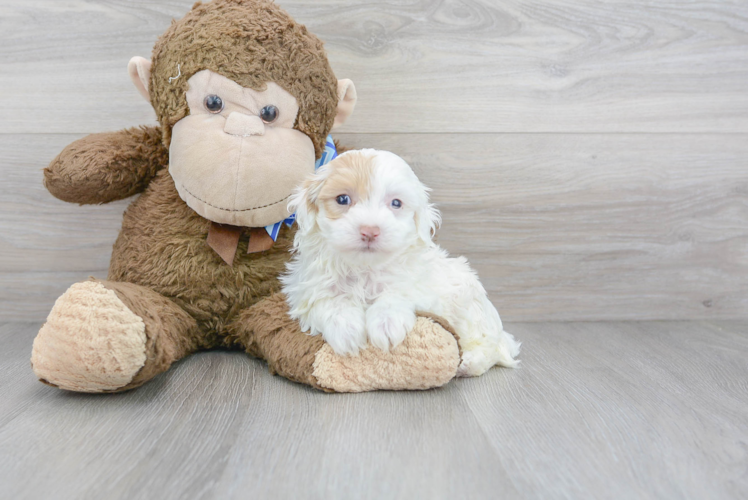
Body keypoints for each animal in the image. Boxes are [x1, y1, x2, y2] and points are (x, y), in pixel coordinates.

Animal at [280, 148, 520, 376]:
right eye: (342, 199)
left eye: (396, 203)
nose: (370, 231)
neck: (364, 267)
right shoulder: (307, 288)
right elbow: (330, 301)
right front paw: (346, 330)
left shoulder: (420, 284)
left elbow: (397, 293)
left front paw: (386, 324)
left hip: (470, 308)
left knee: (490, 346)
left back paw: (469, 362)